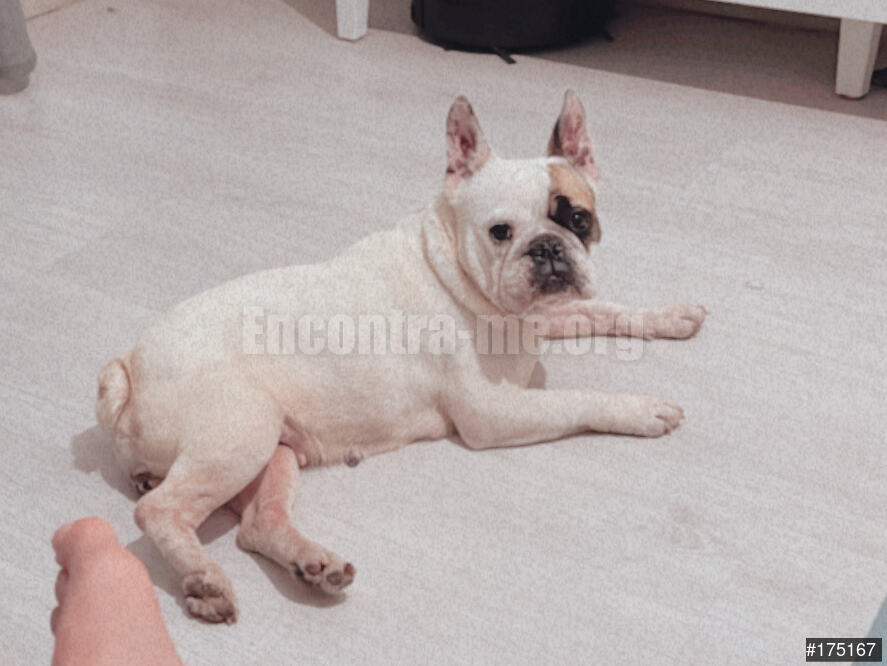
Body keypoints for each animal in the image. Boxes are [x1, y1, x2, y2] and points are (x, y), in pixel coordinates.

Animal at [95, 90, 706, 623]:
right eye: (500, 232)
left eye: (577, 218)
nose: (548, 248)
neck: (456, 267)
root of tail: (127, 367)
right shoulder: (493, 413)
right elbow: (578, 399)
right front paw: (639, 408)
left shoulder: (544, 314)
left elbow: (601, 309)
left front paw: (668, 316)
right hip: (238, 434)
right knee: (159, 511)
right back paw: (204, 581)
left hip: (271, 448)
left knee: (255, 524)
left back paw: (313, 564)